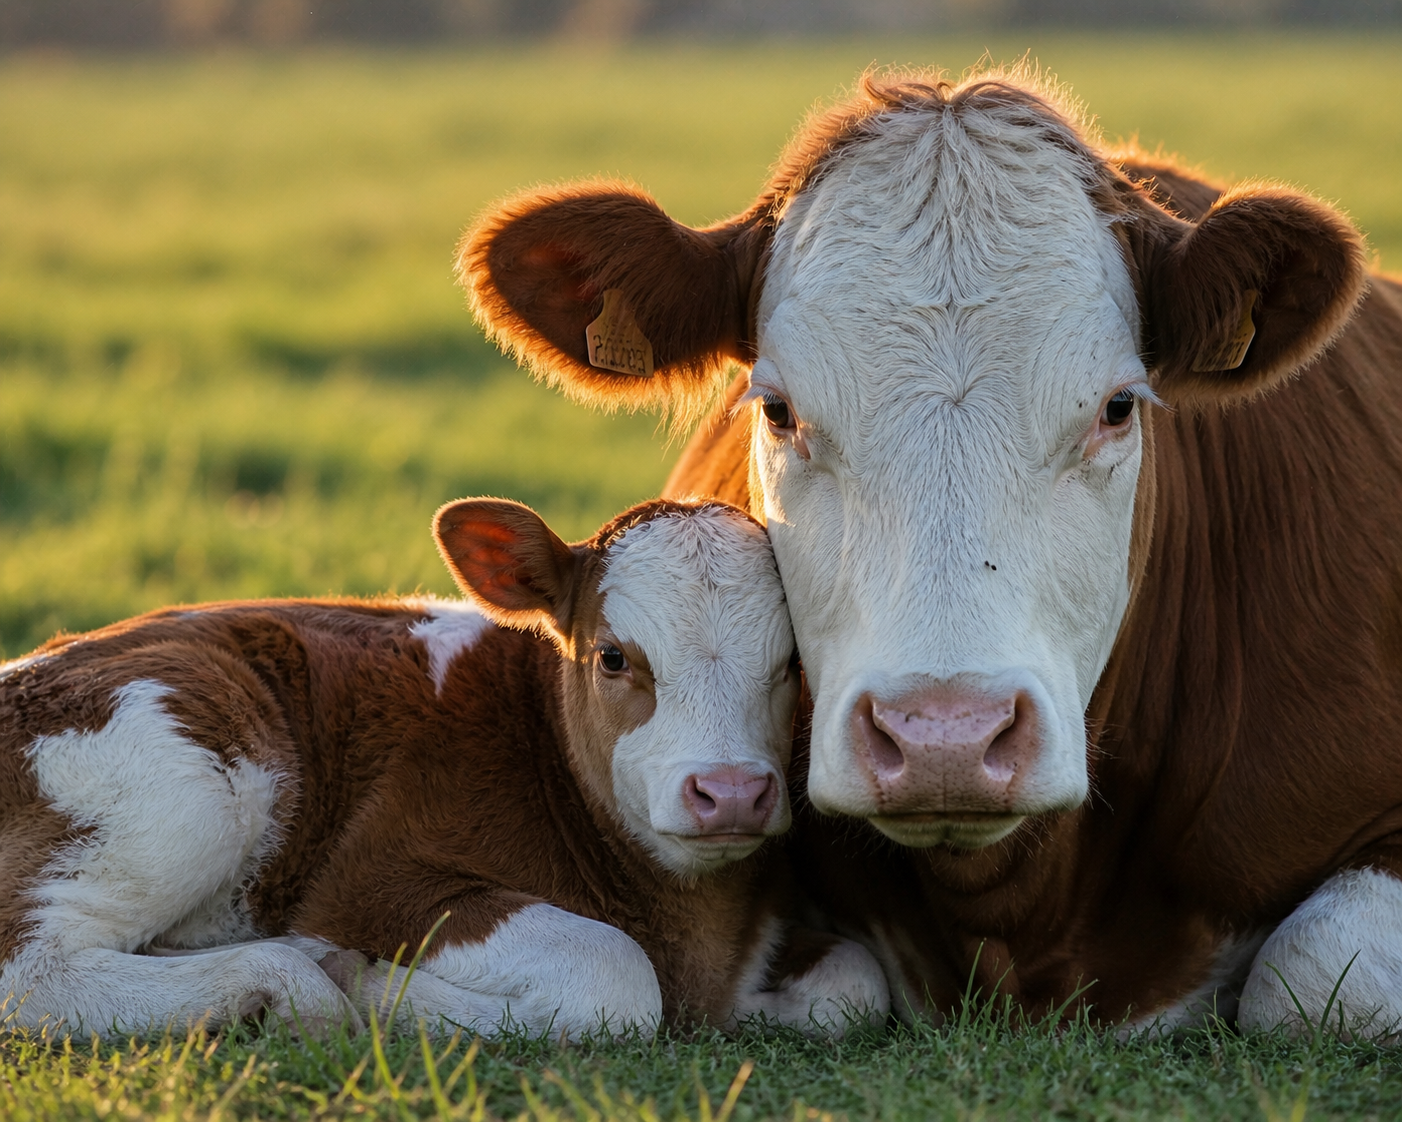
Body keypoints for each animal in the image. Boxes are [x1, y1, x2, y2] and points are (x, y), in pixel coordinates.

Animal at [0, 497, 889, 1040]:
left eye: (793, 663)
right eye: (612, 656)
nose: (731, 792)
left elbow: (856, 983)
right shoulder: (371, 878)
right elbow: (612, 974)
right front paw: (373, 987)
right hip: (185, 776)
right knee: (28, 972)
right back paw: (285, 982)